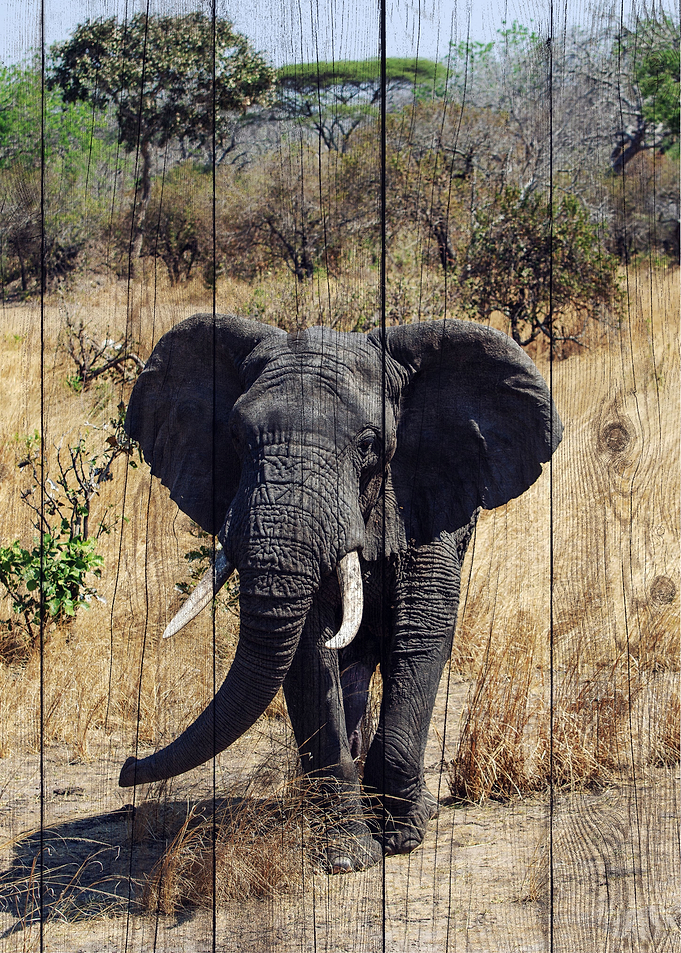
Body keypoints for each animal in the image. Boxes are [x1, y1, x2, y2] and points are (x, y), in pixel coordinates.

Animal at [118, 313, 562, 872]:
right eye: (236, 438)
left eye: (369, 443)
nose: (126, 767)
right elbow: (309, 650)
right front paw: (347, 854)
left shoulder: (426, 490)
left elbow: (422, 629)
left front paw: (403, 834)